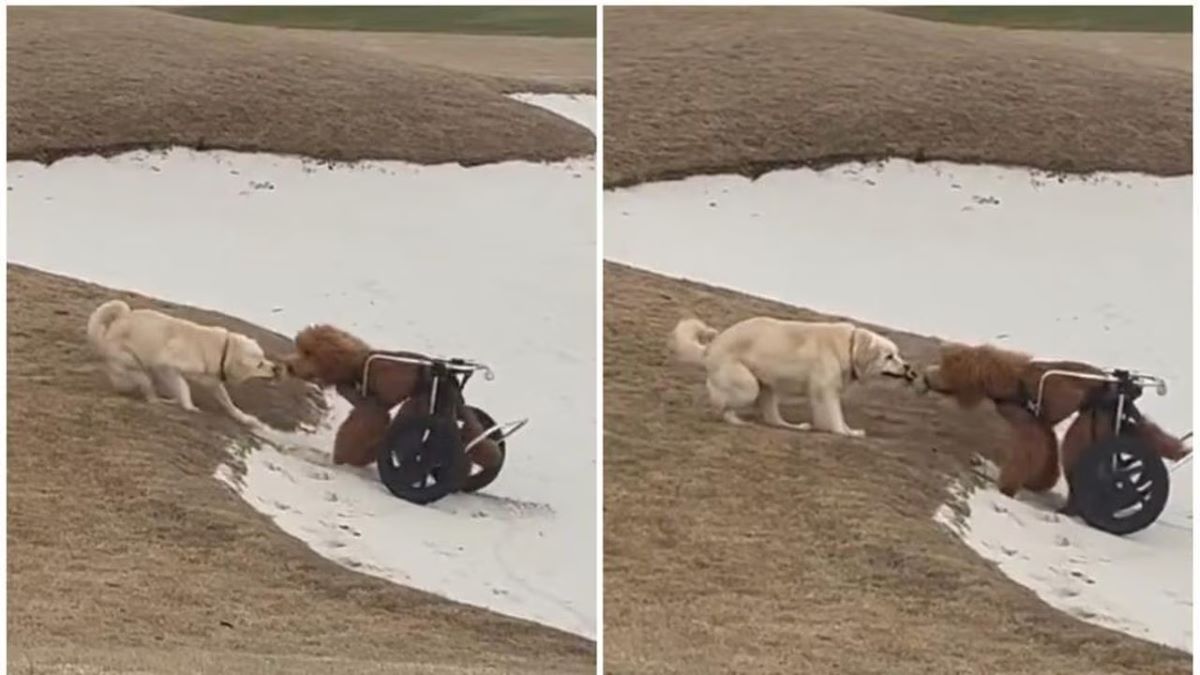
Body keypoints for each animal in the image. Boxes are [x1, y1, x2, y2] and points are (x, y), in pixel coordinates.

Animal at [87, 297, 278, 422]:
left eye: (264, 358)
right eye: (260, 364)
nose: (276, 368)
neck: (224, 350)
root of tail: (121, 317)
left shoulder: (213, 382)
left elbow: (228, 402)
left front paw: (244, 418)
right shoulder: (165, 367)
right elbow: (184, 387)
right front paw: (189, 406)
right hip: (136, 366)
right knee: (148, 390)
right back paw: (159, 401)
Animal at [282, 324, 501, 470]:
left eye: (309, 353)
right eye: (300, 348)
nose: (289, 366)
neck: (359, 364)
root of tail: (450, 378)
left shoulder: (372, 407)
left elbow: (362, 425)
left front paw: (345, 457)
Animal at [672, 314, 912, 437]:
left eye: (898, 354)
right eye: (889, 356)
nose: (909, 368)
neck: (849, 347)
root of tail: (711, 346)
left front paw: (848, 431)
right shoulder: (825, 391)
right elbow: (835, 417)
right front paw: (845, 432)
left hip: (767, 388)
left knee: (773, 418)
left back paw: (793, 426)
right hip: (749, 386)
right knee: (723, 404)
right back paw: (732, 418)